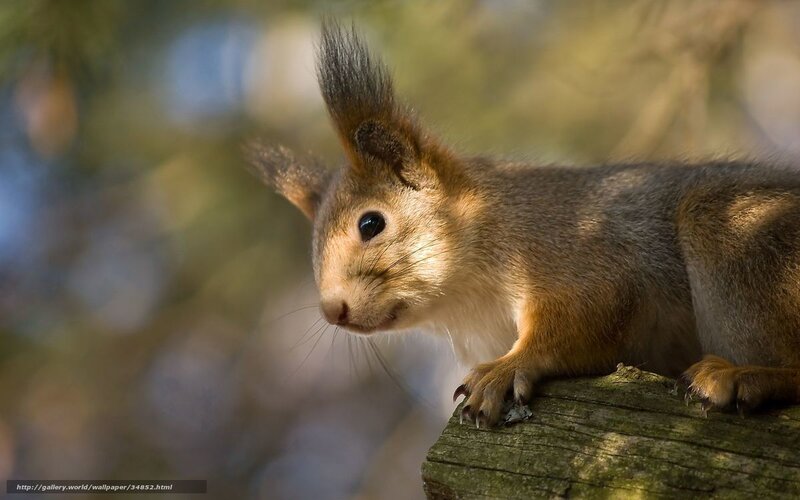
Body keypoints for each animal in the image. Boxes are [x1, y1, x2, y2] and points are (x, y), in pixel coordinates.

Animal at [247, 21, 800, 427]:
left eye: (370, 224)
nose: (332, 311)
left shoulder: (573, 248)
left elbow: (586, 316)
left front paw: (506, 369)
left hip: (737, 233)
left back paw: (742, 376)